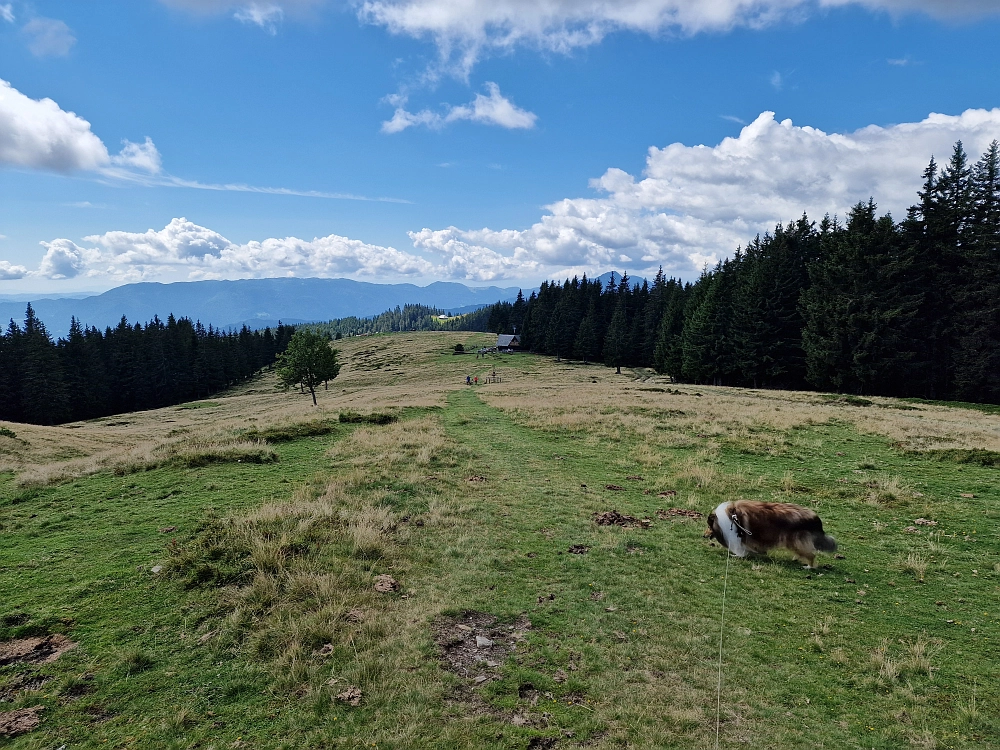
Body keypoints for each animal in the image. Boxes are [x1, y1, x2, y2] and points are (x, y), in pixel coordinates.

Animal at [708, 500, 840, 568]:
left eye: (709, 526)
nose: (704, 535)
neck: (731, 517)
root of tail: (814, 518)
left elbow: (741, 549)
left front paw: (738, 555)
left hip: (795, 541)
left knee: (811, 555)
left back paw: (809, 566)